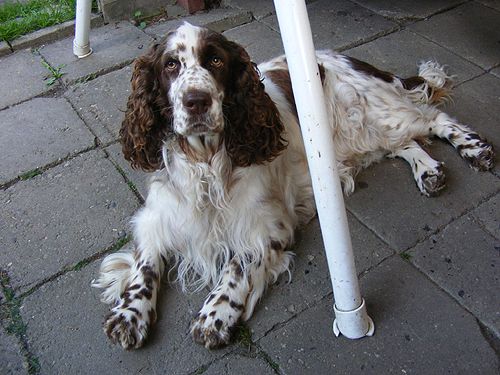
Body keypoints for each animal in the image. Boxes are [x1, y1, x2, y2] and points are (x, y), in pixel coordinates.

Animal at [92, 22, 494, 352]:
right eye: (171, 65)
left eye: (216, 61)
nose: (196, 101)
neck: (206, 159)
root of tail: (354, 59)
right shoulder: (158, 217)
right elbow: (144, 267)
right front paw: (130, 314)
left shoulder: (268, 224)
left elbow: (237, 266)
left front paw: (215, 314)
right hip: (359, 136)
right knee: (405, 143)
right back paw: (429, 171)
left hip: (377, 115)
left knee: (432, 119)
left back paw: (474, 148)